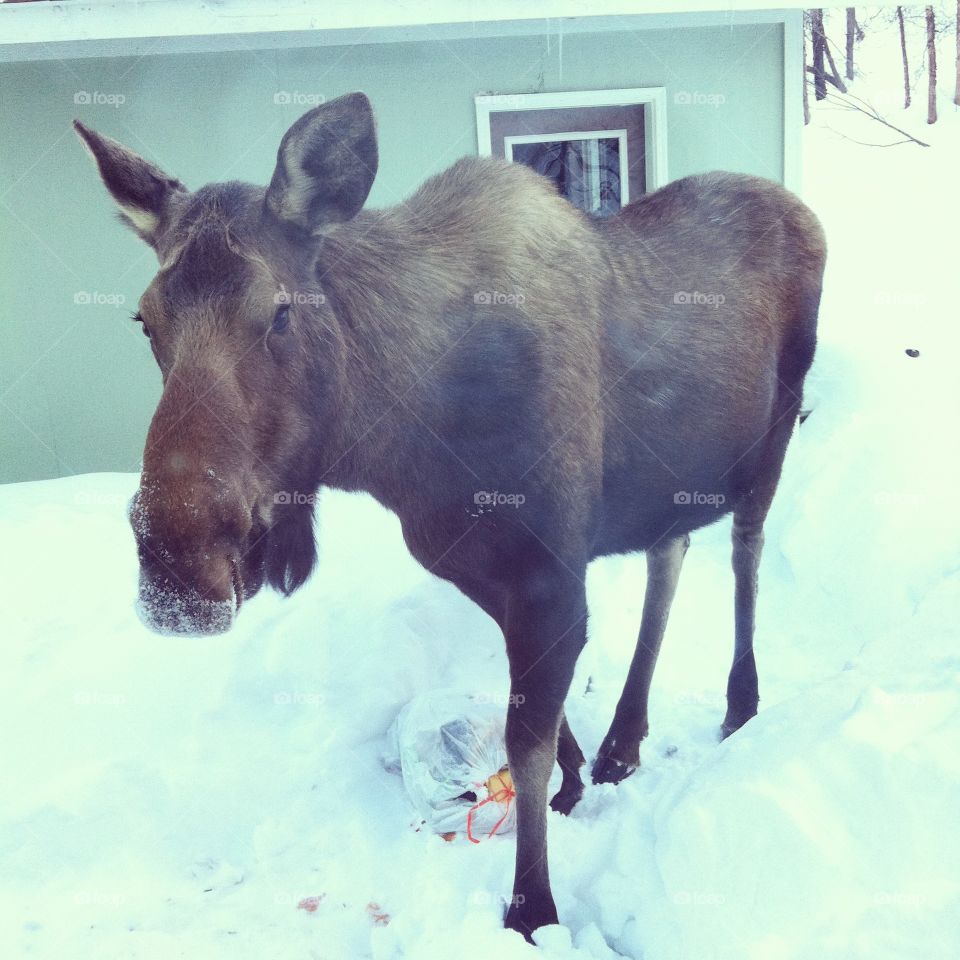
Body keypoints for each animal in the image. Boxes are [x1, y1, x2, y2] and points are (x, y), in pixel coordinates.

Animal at [75, 91, 825, 940]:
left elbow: (526, 742)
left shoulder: (549, 576)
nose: (176, 571)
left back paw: (741, 702)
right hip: (674, 483)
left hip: (771, 440)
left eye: (278, 313)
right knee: (671, 553)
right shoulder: (484, 571)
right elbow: (539, 727)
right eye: (144, 320)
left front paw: (532, 906)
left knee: (744, 554)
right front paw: (574, 783)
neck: (397, 445)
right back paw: (624, 739)